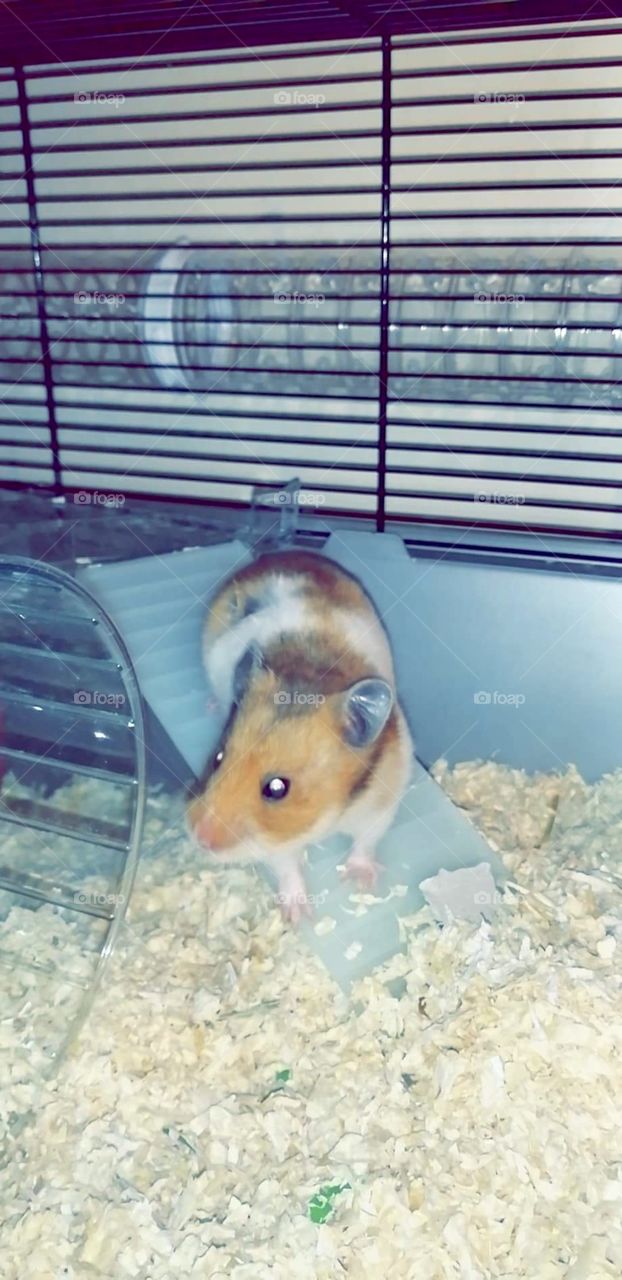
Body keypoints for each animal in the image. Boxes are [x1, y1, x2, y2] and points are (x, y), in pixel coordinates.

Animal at [186, 550, 413, 923]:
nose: (198, 838)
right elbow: (286, 866)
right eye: (218, 758)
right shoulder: (274, 841)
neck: (330, 814)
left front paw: (362, 882)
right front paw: (298, 914)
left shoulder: (382, 802)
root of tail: (275, 554)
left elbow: (366, 841)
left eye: (277, 788)